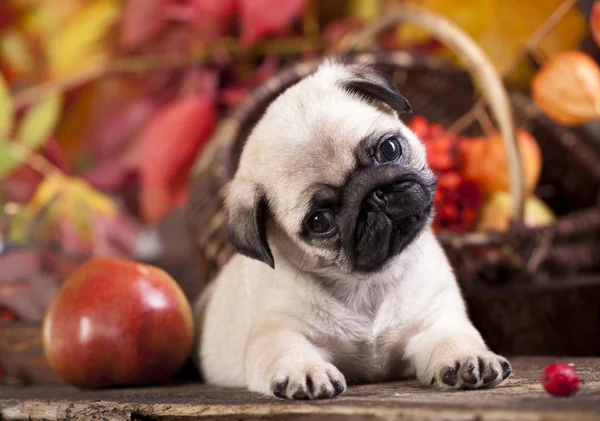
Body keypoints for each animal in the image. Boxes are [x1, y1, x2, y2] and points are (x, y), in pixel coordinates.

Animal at [192, 58, 510, 398]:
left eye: (390, 149)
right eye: (320, 221)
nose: (374, 195)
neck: (367, 283)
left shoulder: (434, 321)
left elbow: (452, 338)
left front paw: (468, 358)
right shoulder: (277, 331)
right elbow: (287, 349)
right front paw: (305, 371)